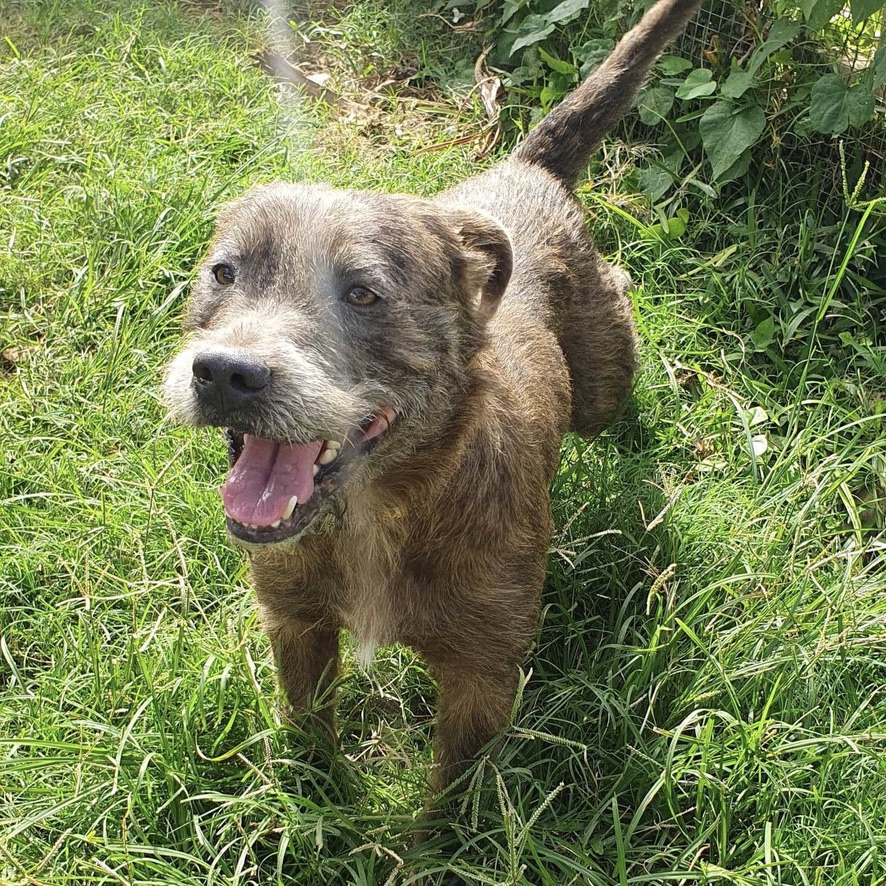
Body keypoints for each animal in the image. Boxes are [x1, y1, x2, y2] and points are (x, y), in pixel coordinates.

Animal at [163, 0, 704, 804]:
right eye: (223, 273)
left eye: (362, 293)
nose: (225, 373)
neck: (382, 511)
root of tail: (526, 167)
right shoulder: (297, 625)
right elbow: (310, 727)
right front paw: (320, 800)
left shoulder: (482, 676)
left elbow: (453, 794)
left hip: (603, 381)